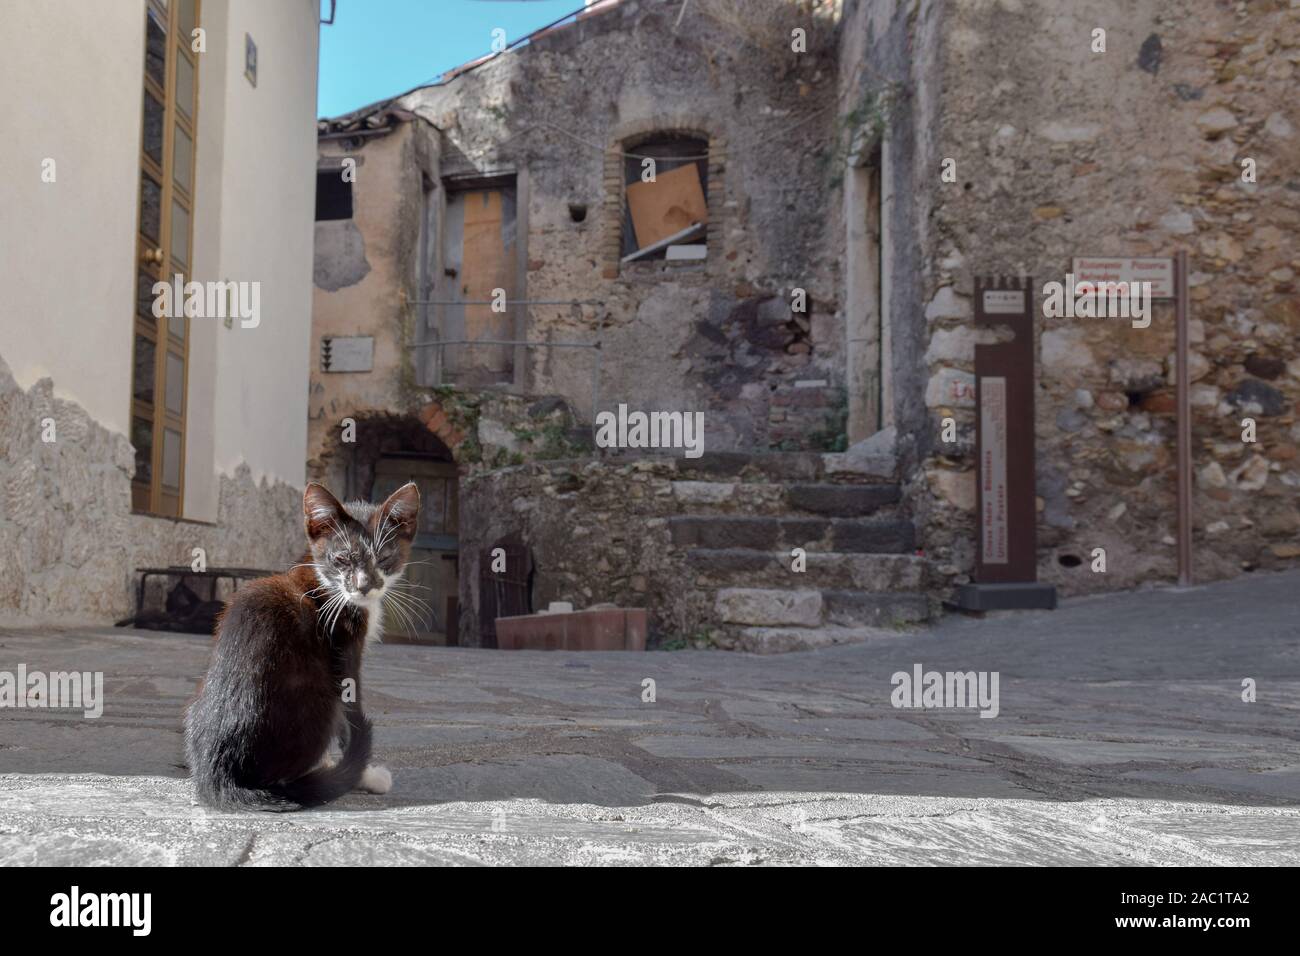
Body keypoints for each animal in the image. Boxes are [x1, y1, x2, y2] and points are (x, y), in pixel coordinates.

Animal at [185, 481, 418, 811]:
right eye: (342, 559)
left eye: (384, 558)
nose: (363, 586)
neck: (326, 584)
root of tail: (219, 774)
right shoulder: (344, 645)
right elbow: (351, 715)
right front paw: (366, 776)